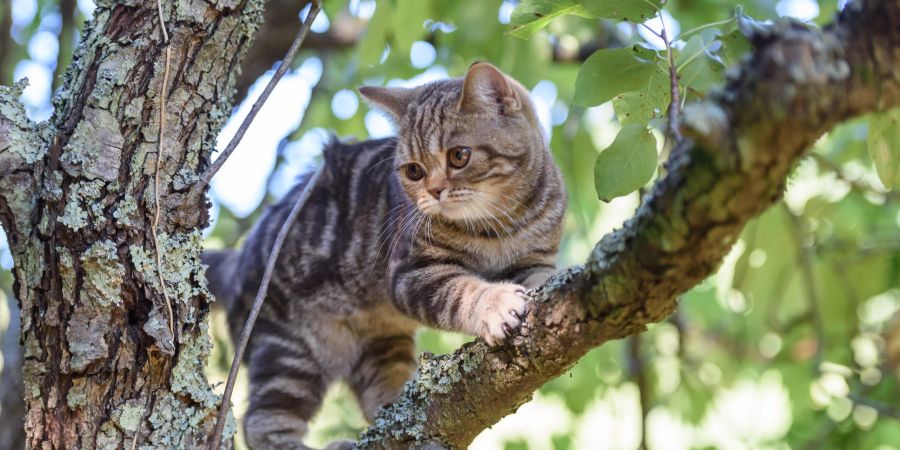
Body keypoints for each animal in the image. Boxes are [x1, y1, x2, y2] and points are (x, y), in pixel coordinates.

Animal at [207, 61, 568, 448]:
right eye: (414, 171)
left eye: (459, 156)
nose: (434, 191)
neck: (497, 226)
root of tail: (238, 261)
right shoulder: (411, 273)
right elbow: (465, 291)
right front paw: (494, 304)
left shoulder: (535, 258)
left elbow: (542, 277)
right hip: (291, 353)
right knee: (261, 422)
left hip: (380, 343)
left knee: (379, 404)